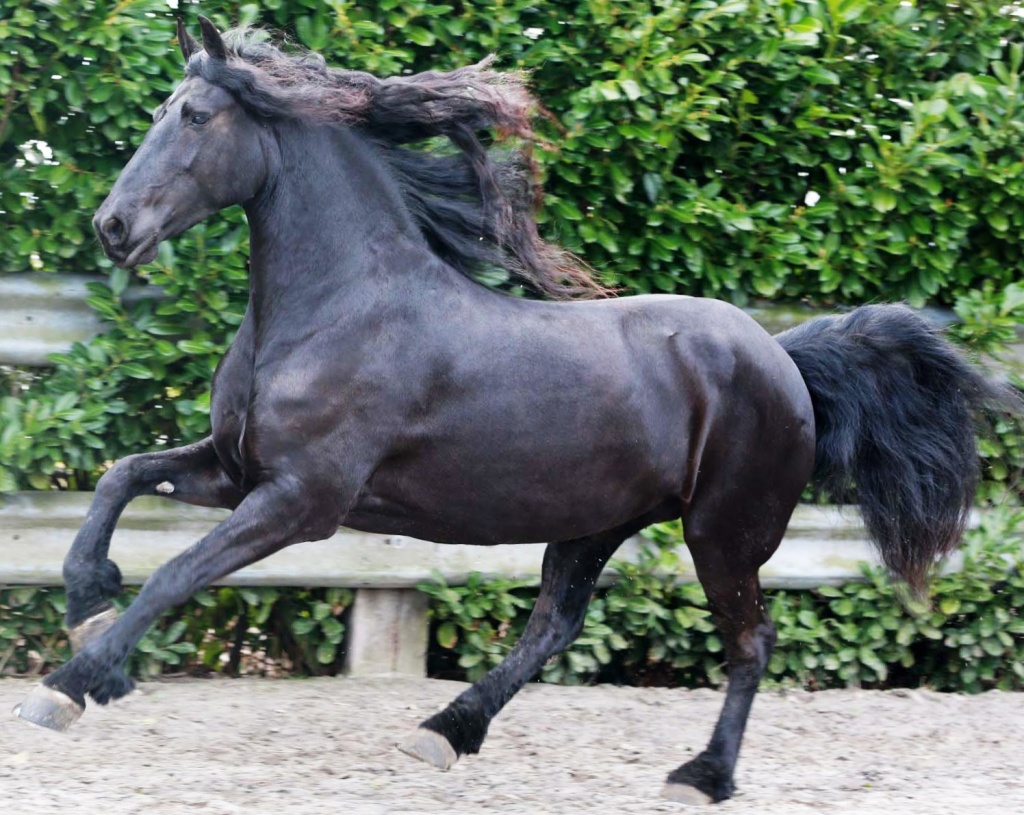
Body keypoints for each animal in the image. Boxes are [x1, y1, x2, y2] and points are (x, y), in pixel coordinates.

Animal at [14, 17, 1012, 804]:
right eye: (158, 110)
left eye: (195, 116)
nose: (112, 228)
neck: (336, 308)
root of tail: (785, 361)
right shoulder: (237, 469)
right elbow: (119, 477)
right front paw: (88, 603)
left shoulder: (302, 500)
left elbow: (176, 573)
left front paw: (72, 683)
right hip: (598, 520)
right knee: (553, 626)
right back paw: (444, 730)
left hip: (723, 531)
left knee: (750, 641)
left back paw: (703, 775)